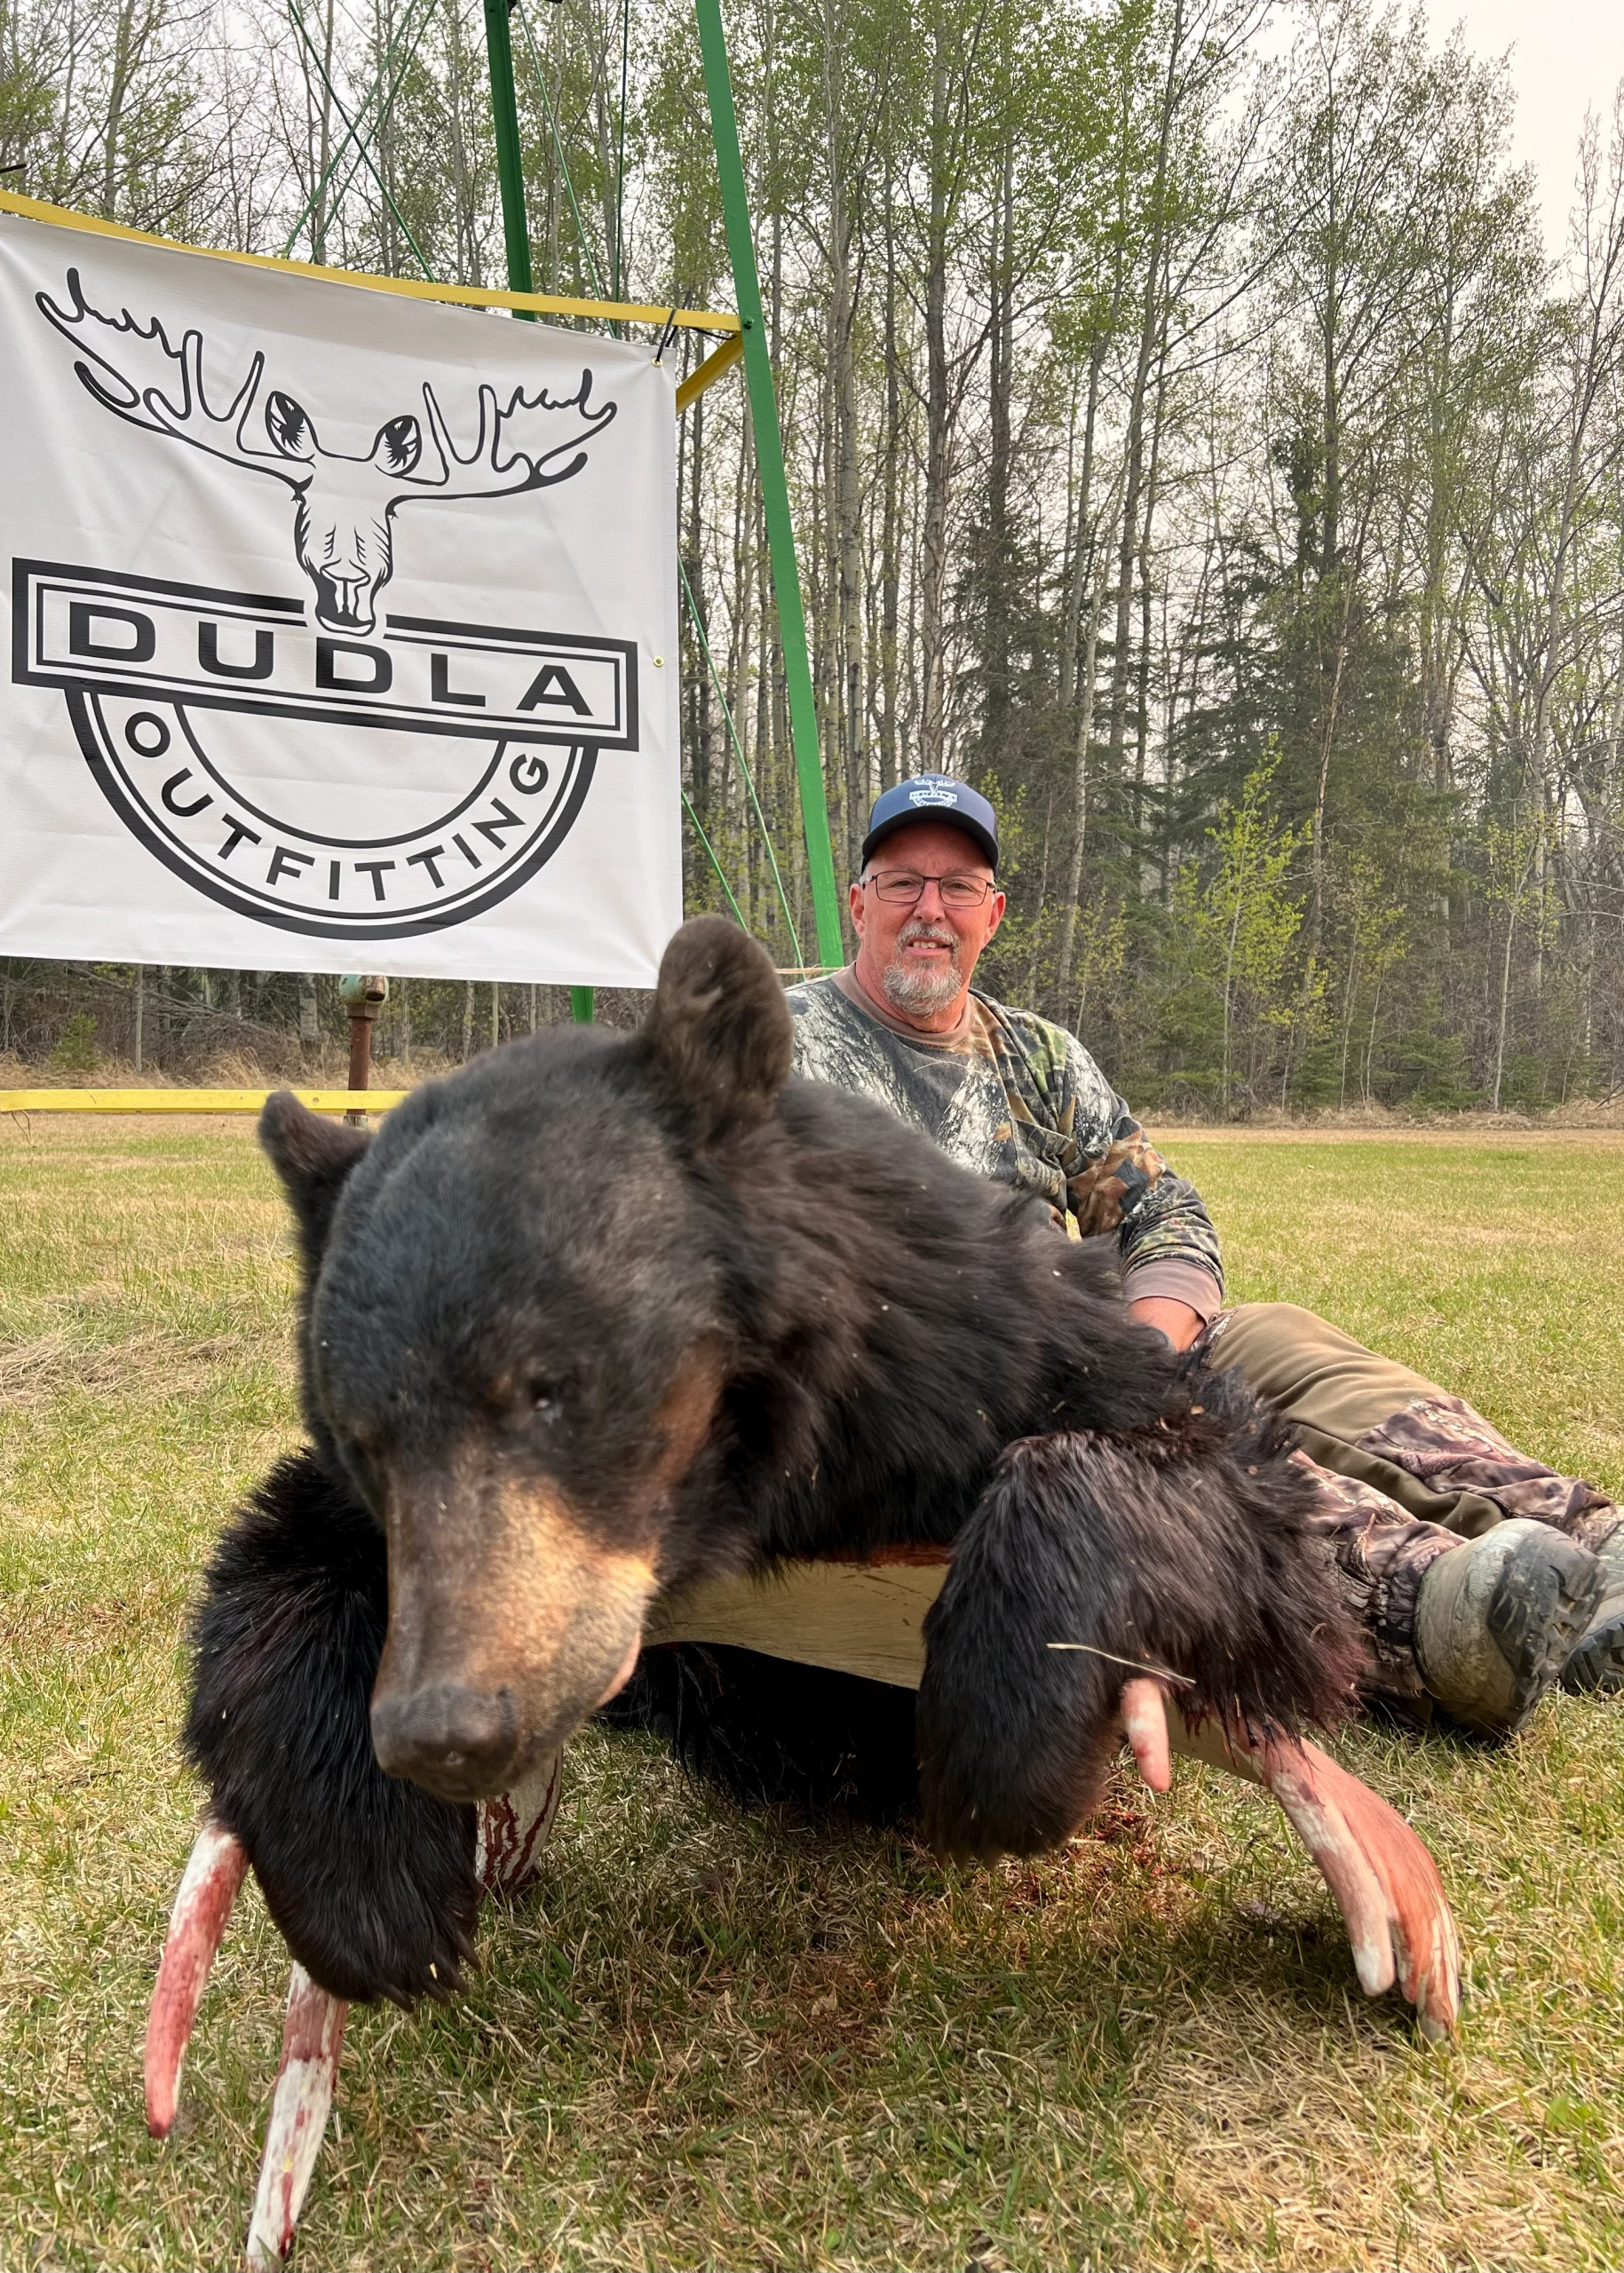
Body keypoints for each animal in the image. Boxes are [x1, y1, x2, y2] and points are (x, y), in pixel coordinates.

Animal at [182, 914, 1367, 2012]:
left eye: (550, 1386)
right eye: (361, 1433)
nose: (442, 1730)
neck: (767, 1479)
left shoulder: (983, 1350)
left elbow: (1252, 1522)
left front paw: (1007, 1746)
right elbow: (275, 1559)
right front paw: (366, 1891)